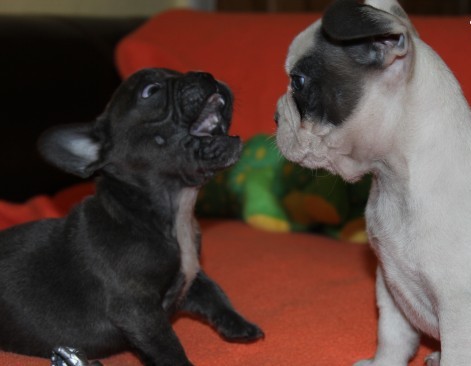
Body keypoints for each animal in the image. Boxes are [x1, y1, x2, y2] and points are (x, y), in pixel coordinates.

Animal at [0, 68, 264, 366]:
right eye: (150, 91)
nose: (205, 74)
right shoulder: (138, 309)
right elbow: (166, 344)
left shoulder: (192, 276)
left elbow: (214, 294)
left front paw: (240, 325)